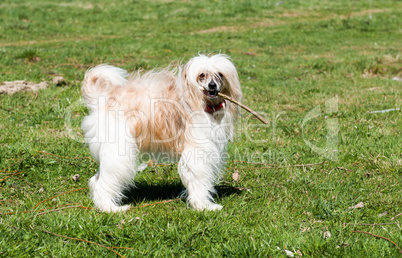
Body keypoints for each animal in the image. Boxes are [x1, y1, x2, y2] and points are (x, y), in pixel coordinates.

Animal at [80, 54, 240, 212]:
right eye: (202, 75)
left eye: (220, 75)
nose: (212, 85)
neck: (202, 103)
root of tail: (102, 100)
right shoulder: (197, 153)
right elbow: (199, 181)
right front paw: (203, 206)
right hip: (119, 153)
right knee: (103, 182)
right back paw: (110, 208)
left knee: (95, 179)